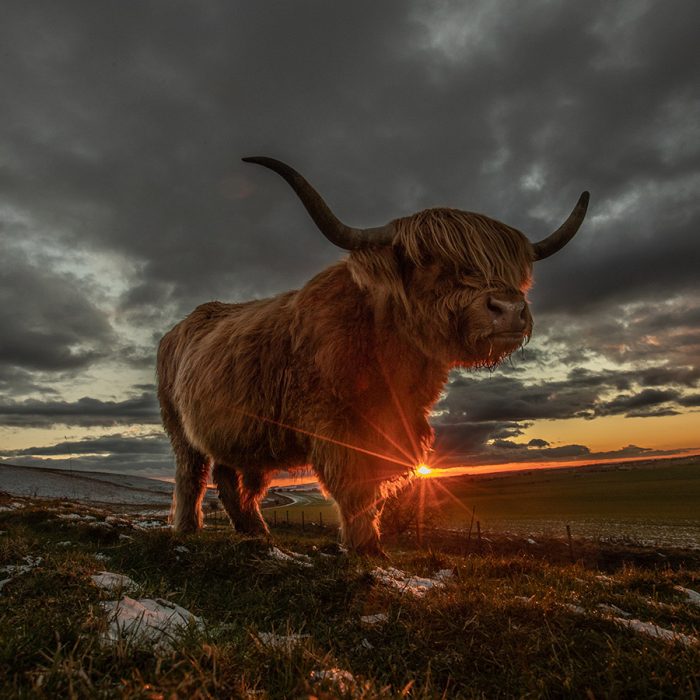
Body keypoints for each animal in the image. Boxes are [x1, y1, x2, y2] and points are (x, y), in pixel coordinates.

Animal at [156, 157, 588, 552]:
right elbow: (356, 487)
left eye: (513, 269)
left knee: (230, 479)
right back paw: (188, 529)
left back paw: (255, 532)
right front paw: (365, 548)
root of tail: (179, 328)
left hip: (235, 433)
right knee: (191, 475)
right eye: (427, 260)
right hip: (179, 427)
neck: (391, 358)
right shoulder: (336, 426)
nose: (509, 310)